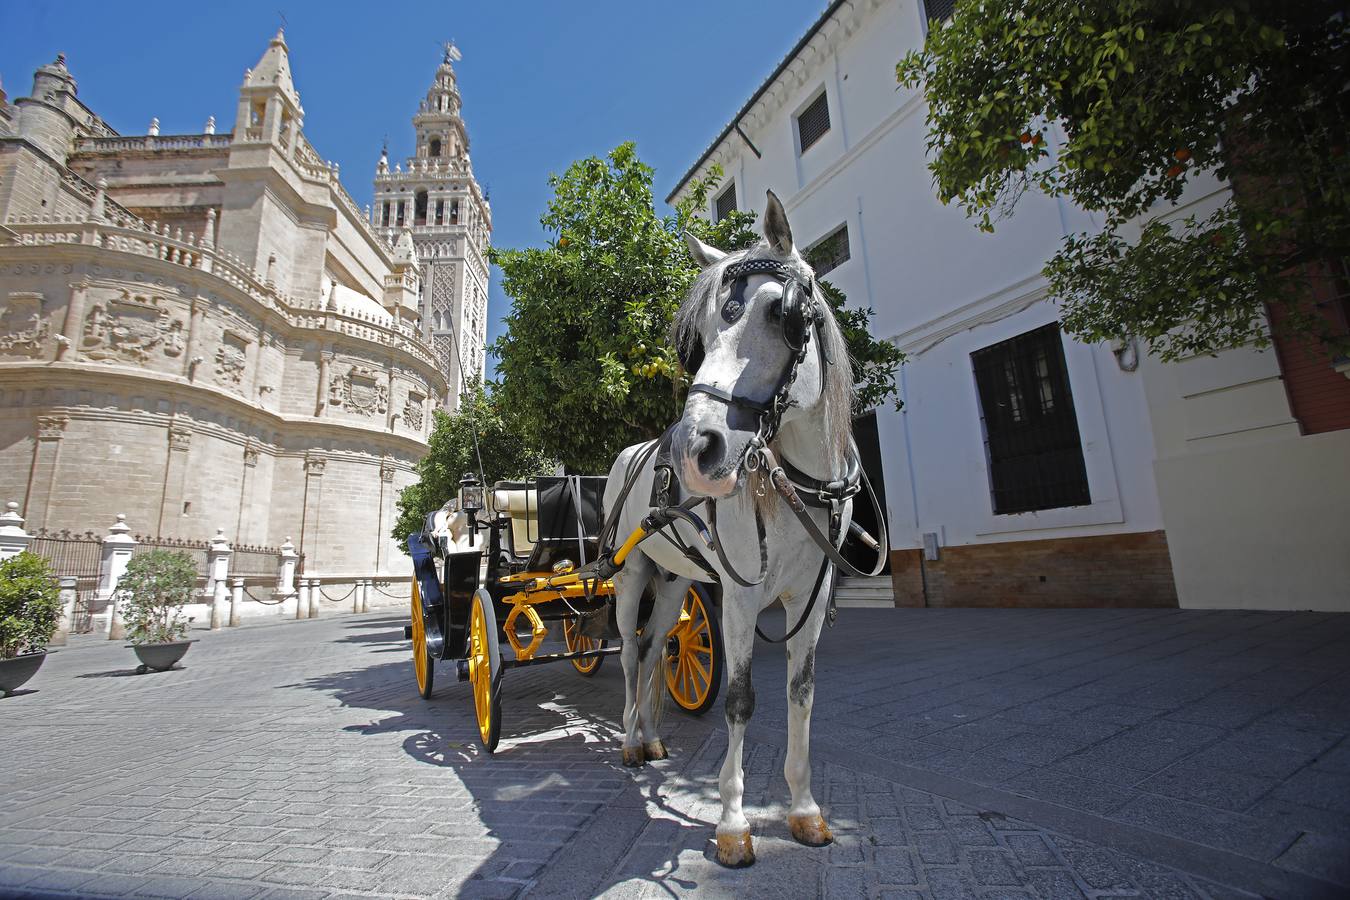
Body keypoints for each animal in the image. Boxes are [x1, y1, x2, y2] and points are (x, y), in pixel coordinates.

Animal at [607, 191, 858, 874]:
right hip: (630, 573)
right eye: (700, 334)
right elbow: (740, 699)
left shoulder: (811, 600)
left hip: (673, 582)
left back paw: (652, 739)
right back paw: (629, 740)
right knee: (630, 652)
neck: (801, 484)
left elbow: (802, 692)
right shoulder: (742, 598)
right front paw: (733, 824)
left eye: (781, 313)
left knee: (656, 648)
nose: (696, 449)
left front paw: (804, 810)